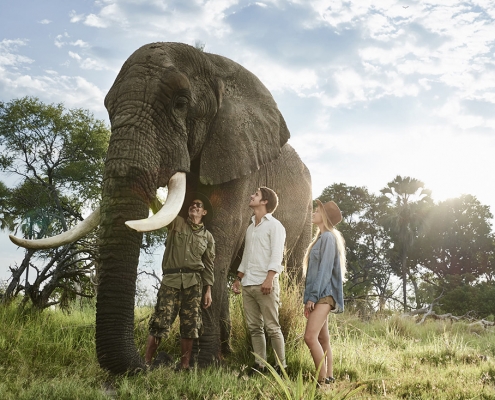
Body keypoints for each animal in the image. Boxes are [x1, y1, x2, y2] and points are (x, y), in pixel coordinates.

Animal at [10, 42, 314, 374]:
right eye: (109, 109)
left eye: (180, 104)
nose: (153, 364)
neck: (214, 65)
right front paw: (205, 361)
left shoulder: (239, 160)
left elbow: (217, 248)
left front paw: (203, 366)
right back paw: (227, 352)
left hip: (307, 214)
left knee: (292, 272)